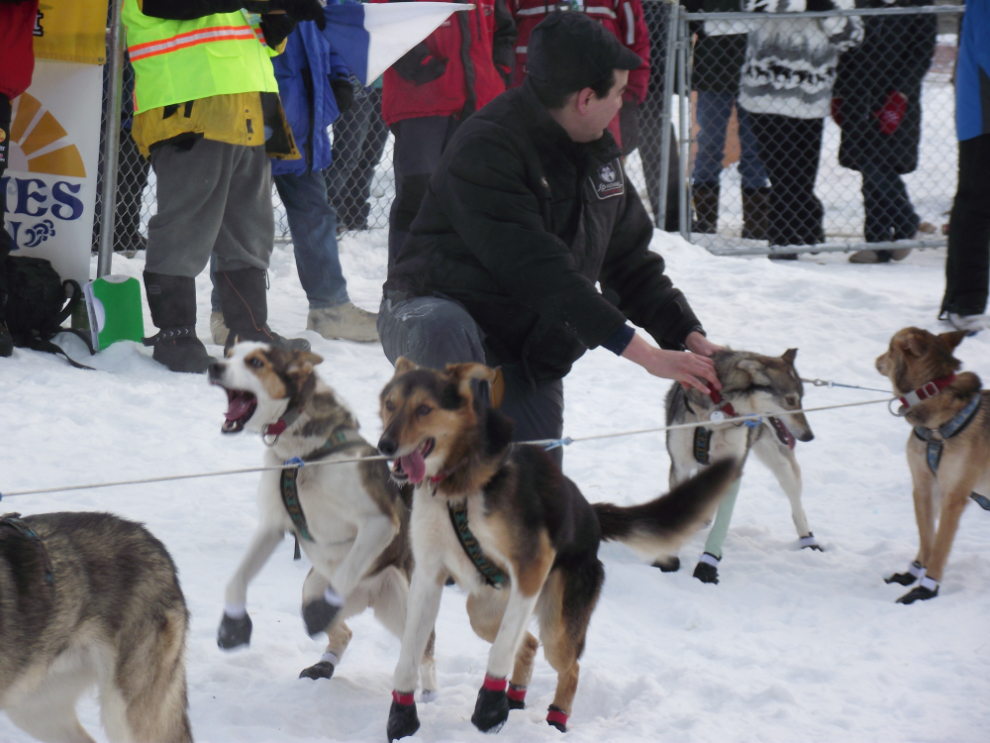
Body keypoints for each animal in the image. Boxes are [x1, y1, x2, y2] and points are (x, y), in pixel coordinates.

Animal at [209, 344, 438, 696]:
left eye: (256, 362)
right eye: (229, 353)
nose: (213, 366)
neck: (300, 456)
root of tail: (368, 597)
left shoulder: (380, 521)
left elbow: (347, 570)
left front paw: (324, 608)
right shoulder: (272, 526)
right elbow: (235, 581)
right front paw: (233, 624)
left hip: (406, 604)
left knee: (423, 651)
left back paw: (428, 691)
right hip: (311, 586)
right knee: (344, 633)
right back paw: (323, 665)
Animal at [378, 358, 736, 740]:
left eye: (424, 409)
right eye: (390, 404)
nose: (385, 445)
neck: (458, 485)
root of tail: (591, 515)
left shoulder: (531, 567)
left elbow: (501, 650)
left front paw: (489, 711)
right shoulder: (428, 575)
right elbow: (408, 656)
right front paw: (402, 718)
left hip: (557, 625)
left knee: (567, 665)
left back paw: (555, 718)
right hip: (483, 610)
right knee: (528, 643)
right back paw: (516, 700)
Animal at [664, 348, 816, 588]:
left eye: (801, 399)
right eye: (791, 400)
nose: (809, 435)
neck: (715, 418)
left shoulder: (733, 466)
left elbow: (721, 526)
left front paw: (707, 566)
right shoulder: (679, 466)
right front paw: (670, 557)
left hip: (784, 468)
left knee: (797, 507)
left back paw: (808, 540)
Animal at [876, 328, 990, 600]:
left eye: (889, 349)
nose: (876, 359)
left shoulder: (954, 496)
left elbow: (939, 545)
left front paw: (926, 588)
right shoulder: (925, 487)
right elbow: (927, 536)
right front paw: (913, 572)